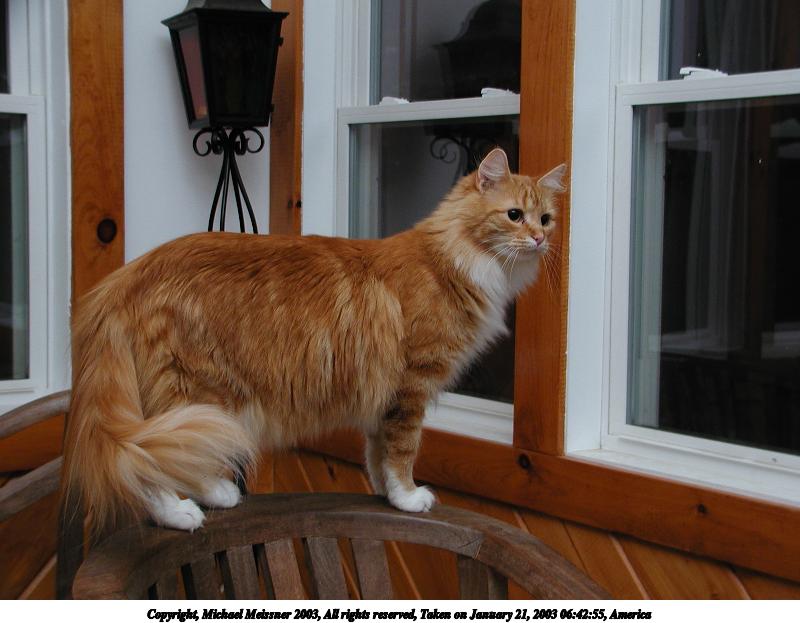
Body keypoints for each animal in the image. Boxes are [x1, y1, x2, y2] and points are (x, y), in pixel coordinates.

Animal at [63, 148, 565, 532]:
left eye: (546, 218)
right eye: (514, 215)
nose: (539, 239)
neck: (453, 259)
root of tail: (129, 276)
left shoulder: (384, 394)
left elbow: (377, 453)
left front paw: (387, 496)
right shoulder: (412, 384)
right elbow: (402, 451)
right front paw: (409, 497)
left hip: (200, 405)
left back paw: (220, 495)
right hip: (198, 393)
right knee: (150, 463)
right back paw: (181, 514)